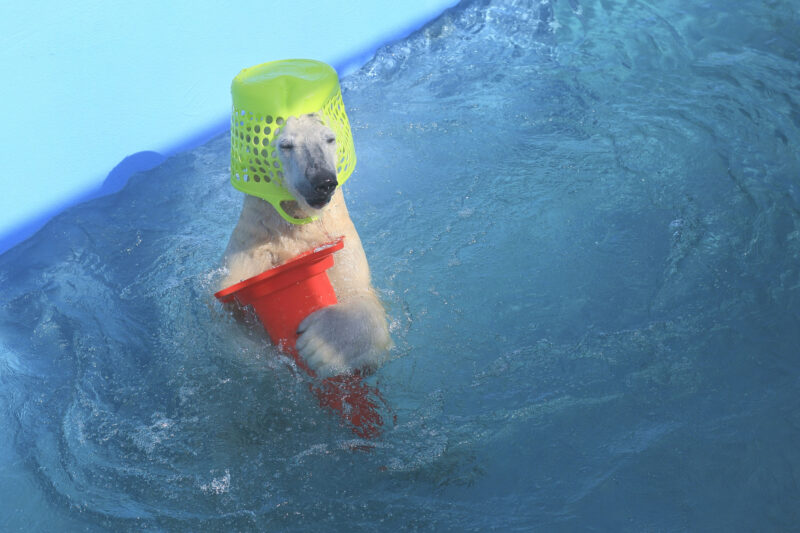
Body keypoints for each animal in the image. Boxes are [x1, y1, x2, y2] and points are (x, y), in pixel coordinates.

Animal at [220, 114, 392, 376]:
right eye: (286, 145)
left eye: (329, 138)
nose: (323, 180)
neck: (296, 225)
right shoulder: (249, 249)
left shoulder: (338, 238)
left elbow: (359, 292)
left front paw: (322, 344)